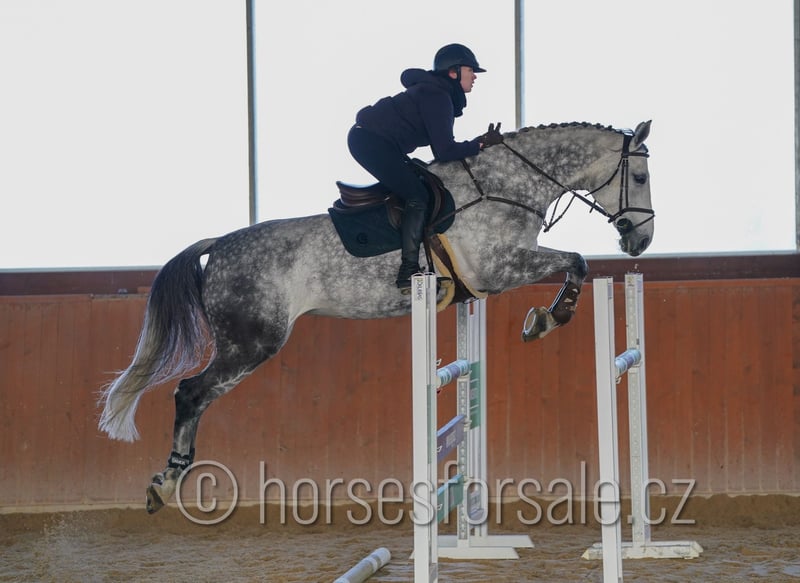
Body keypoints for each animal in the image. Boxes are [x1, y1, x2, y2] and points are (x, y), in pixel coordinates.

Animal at [98, 120, 654, 513]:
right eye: (641, 176)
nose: (641, 241)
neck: (504, 186)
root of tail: (219, 245)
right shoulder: (501, 267)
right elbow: (576, 261)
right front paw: (545, 319)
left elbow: (574, 262)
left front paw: (543, 317)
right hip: (251, 342)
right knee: (190, 393)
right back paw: (166, 484)